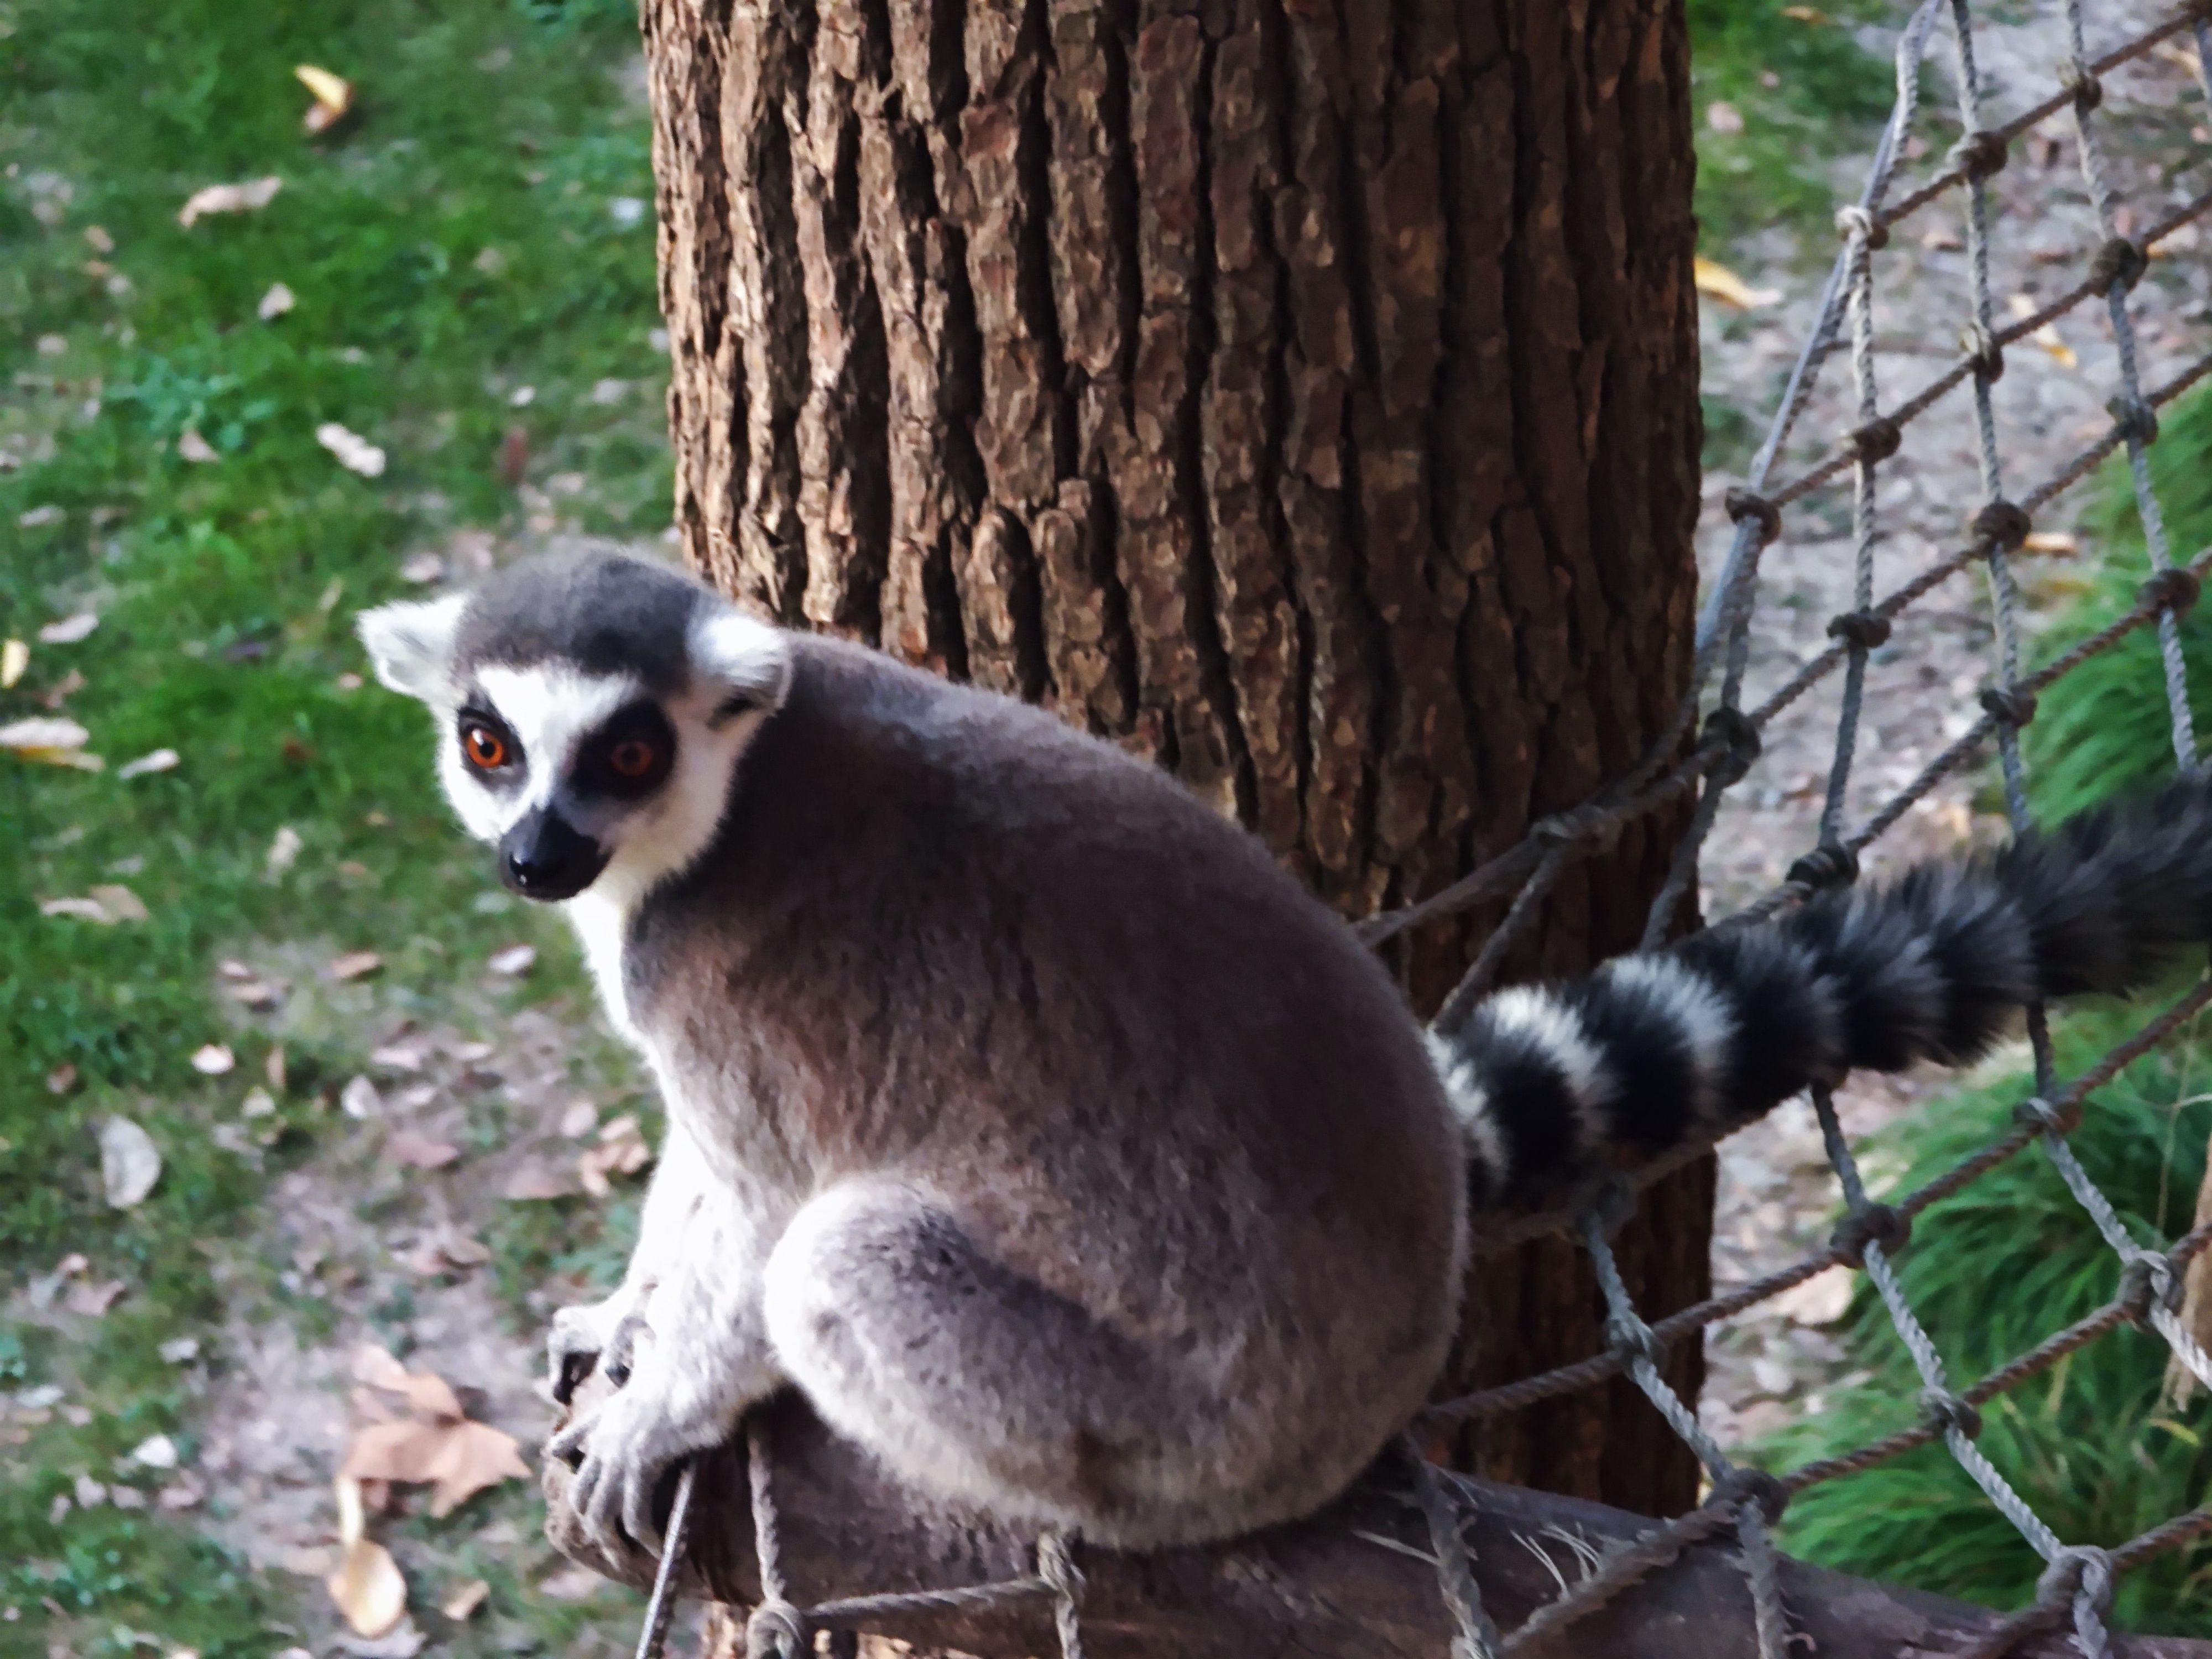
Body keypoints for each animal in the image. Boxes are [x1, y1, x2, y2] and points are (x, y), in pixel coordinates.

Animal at [360, 547, 2212, 1558]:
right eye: (488, 741)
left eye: (624, 751)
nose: (535, 855)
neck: (716, 813)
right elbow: (695, 1186)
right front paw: (620, 1318)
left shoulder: (730, 987)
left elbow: (756, 1215)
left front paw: (662, 1408)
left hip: (1164, 1430)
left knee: (845, 1257)